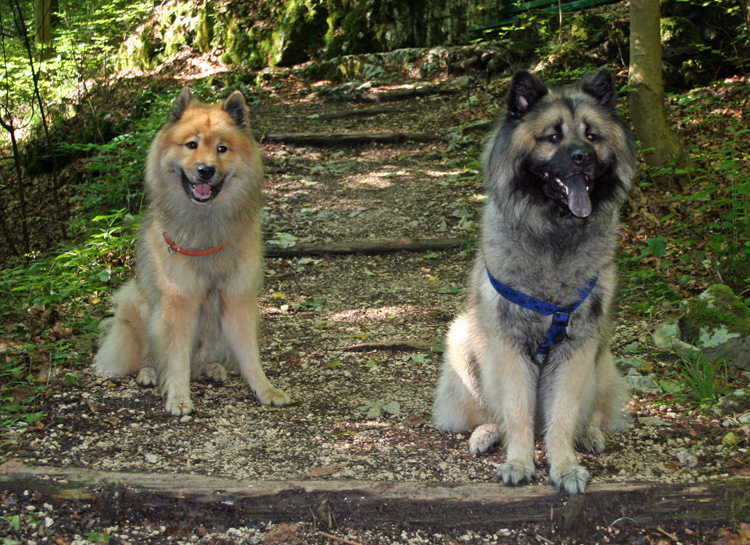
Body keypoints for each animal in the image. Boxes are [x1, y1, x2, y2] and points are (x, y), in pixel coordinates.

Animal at [93, 87, 290, 414]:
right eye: (191, 145)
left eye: (222, 148)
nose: (205, 171)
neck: (206, 227)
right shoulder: (179, 303)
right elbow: (176, 358)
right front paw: (178, 397)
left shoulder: (237, 299)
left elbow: (250, 354)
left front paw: (265, 389)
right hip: (136, 305)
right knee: (147, 356)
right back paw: (148, 373)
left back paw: (212, 368)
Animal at [432, 68, 636, 492]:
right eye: (553, 137)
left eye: (592, 136)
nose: (583, 157)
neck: (554, 235)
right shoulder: (510, 346)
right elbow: (517, 413)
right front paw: (519, 462)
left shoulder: (576, 348)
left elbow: (562, 416)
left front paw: (564, 465)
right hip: (462, 343)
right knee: (489, 413)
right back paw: (487, 433)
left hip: (601, 362)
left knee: (587, 414)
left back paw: (588, 434)